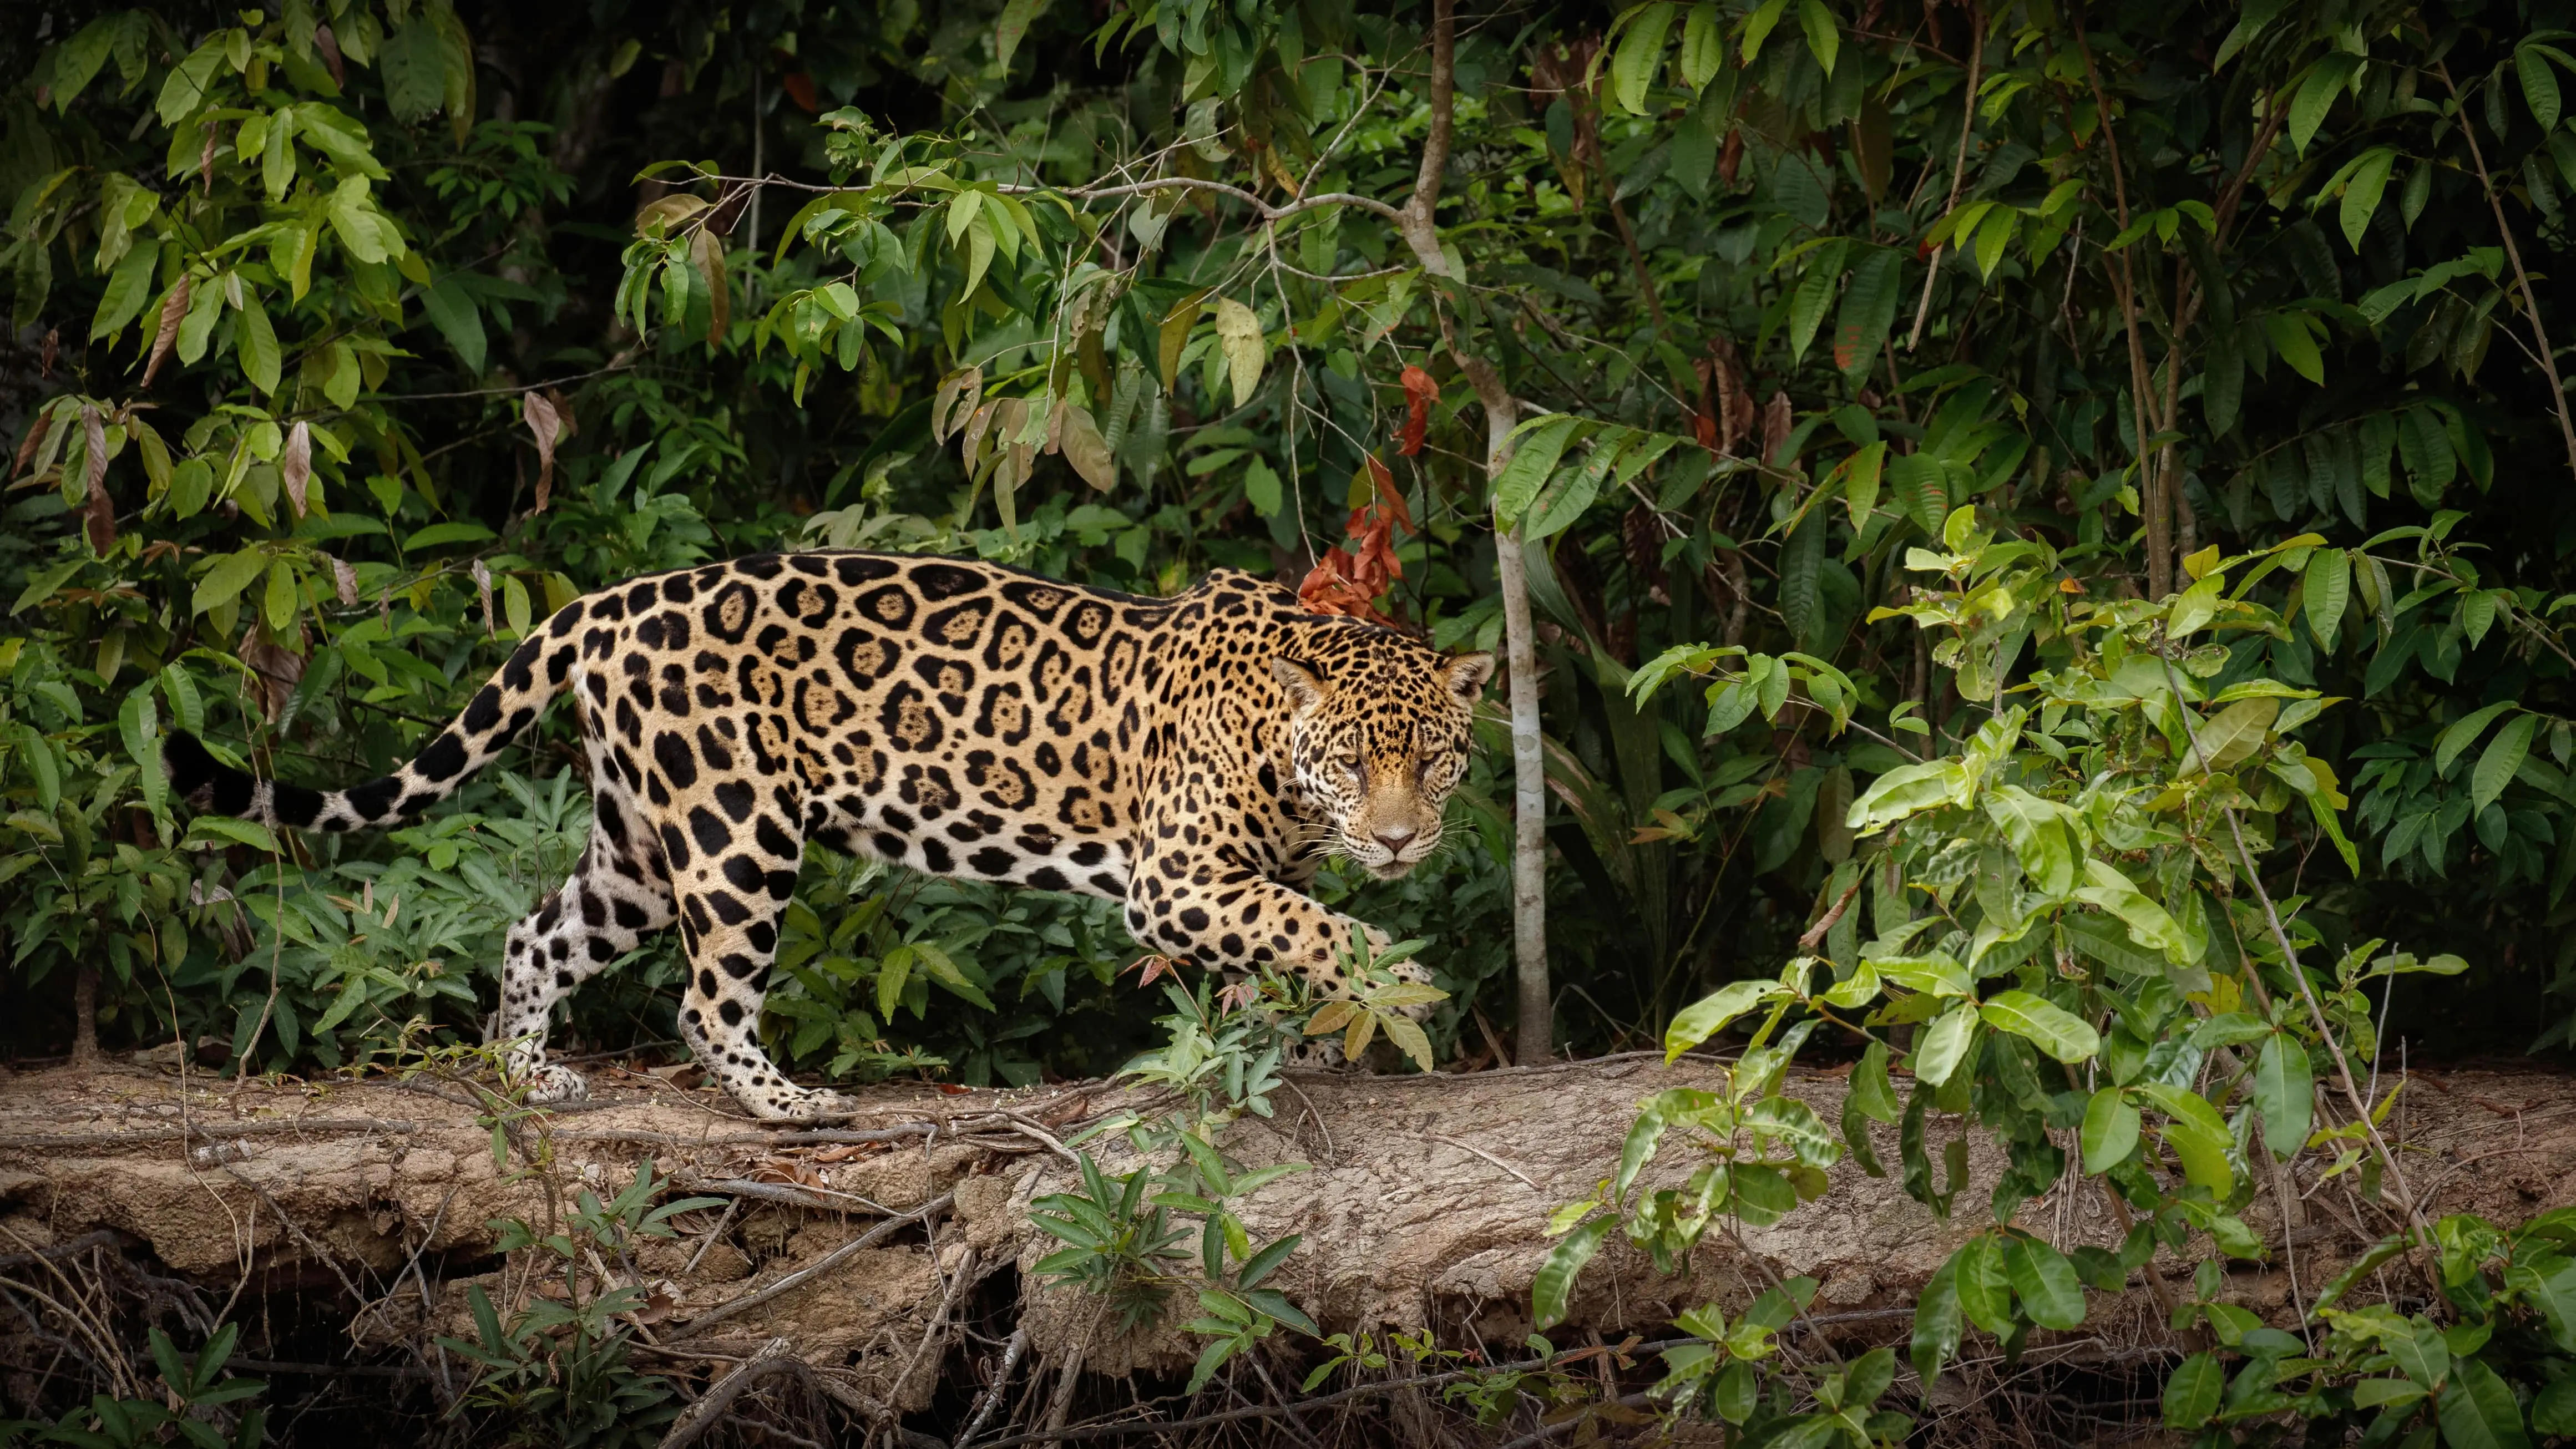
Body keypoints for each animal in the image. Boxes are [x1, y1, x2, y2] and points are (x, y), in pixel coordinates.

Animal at [164, 551, 1494, 1120]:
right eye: (1354, 761)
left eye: (1431, 758)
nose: (1395, 843)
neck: (1282, 750)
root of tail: (600, 605)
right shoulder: (1174, 877)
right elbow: (1305, 925)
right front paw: (1400, 987)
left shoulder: (1226, 882)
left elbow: (1267, 949)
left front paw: (1296, 1041)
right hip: (734, 831)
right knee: (702, 1001)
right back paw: (787, 1104)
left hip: (637, 847)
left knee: (535, 934)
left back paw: (529, 1072)